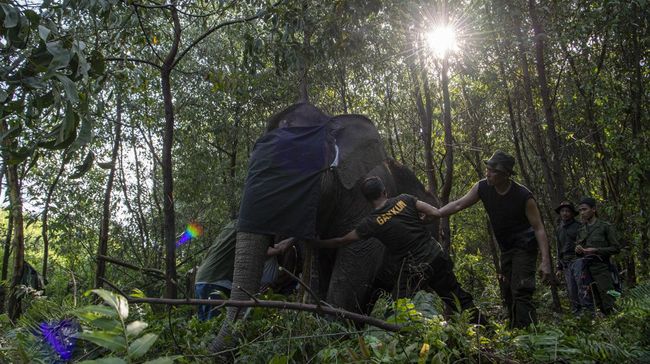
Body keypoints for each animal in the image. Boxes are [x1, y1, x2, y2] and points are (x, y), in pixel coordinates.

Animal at [213, 102, 436, 352]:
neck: (331, 123)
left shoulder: (367, 194)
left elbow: (360, 251)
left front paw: (330, 337)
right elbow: (317, 262)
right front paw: (318, 328)